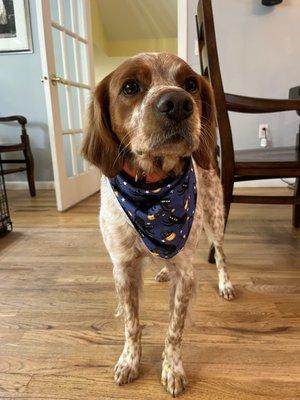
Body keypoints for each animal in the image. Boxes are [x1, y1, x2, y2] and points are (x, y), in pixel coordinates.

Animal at [82, 51, 234, 396]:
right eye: (130, 86)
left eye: (190, 83)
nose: (177, 103)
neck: (152, 191)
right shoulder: (123, 267)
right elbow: (131, 324)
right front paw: (129, 361)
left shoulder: (186, 276)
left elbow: (174, 331)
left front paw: (172, 369)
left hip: (215, 216)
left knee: (220, 254)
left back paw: (225, 284)